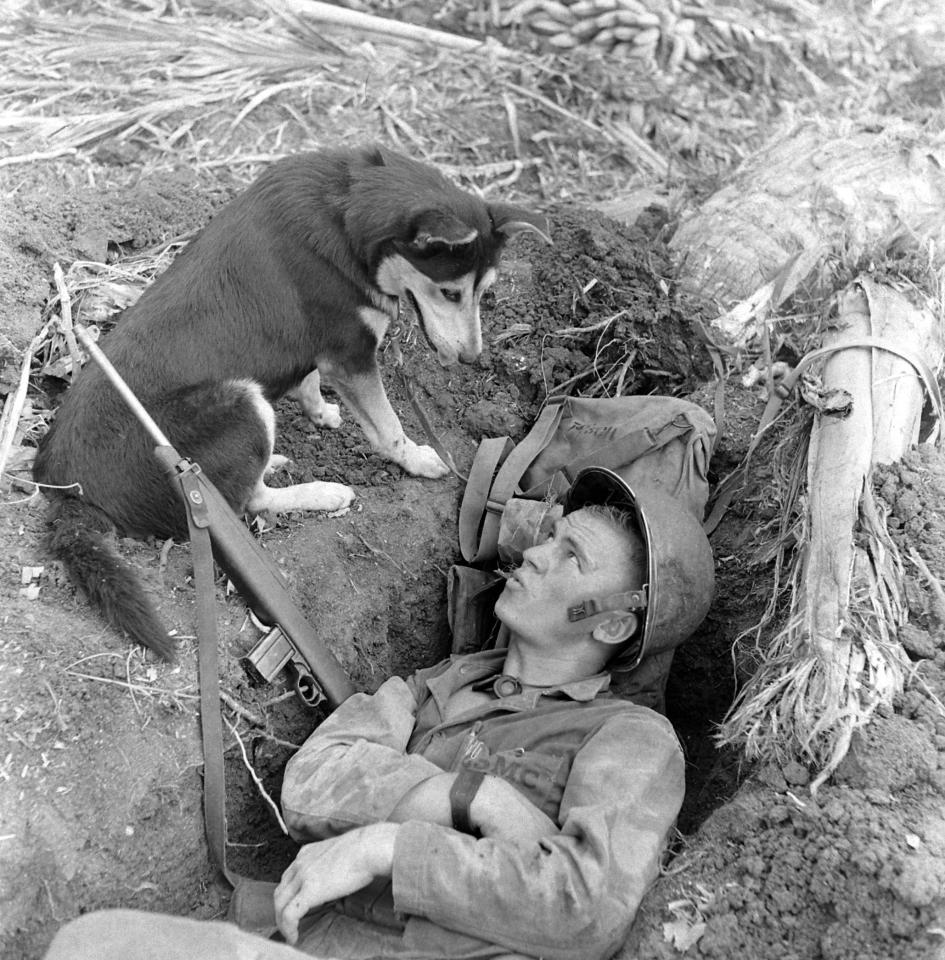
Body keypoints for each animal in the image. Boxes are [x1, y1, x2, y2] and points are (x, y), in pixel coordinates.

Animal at [37, 144, 548, 660]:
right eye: (450, 292)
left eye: (484, 291)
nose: (472, 358)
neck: (349, 214)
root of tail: (68, 492)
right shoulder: (352, 354)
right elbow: (387, 427)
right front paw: (418, 460)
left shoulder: (325, 349)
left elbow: (310, 378)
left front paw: (320, 412)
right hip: (242, 403)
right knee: (250, 501)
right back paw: (323, 492)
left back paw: (278, 460)